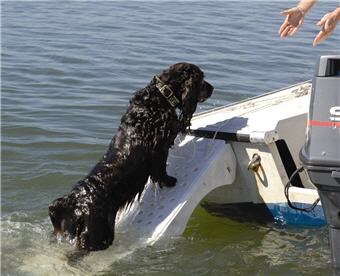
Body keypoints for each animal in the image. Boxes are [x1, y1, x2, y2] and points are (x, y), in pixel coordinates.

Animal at [48, 63, 212, 252]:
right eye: (202, 78)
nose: (213, 88)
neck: (159, 97)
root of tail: (75, 201)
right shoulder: (160, 147)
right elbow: (162, 168)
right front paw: (169, 180)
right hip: (98, 236)